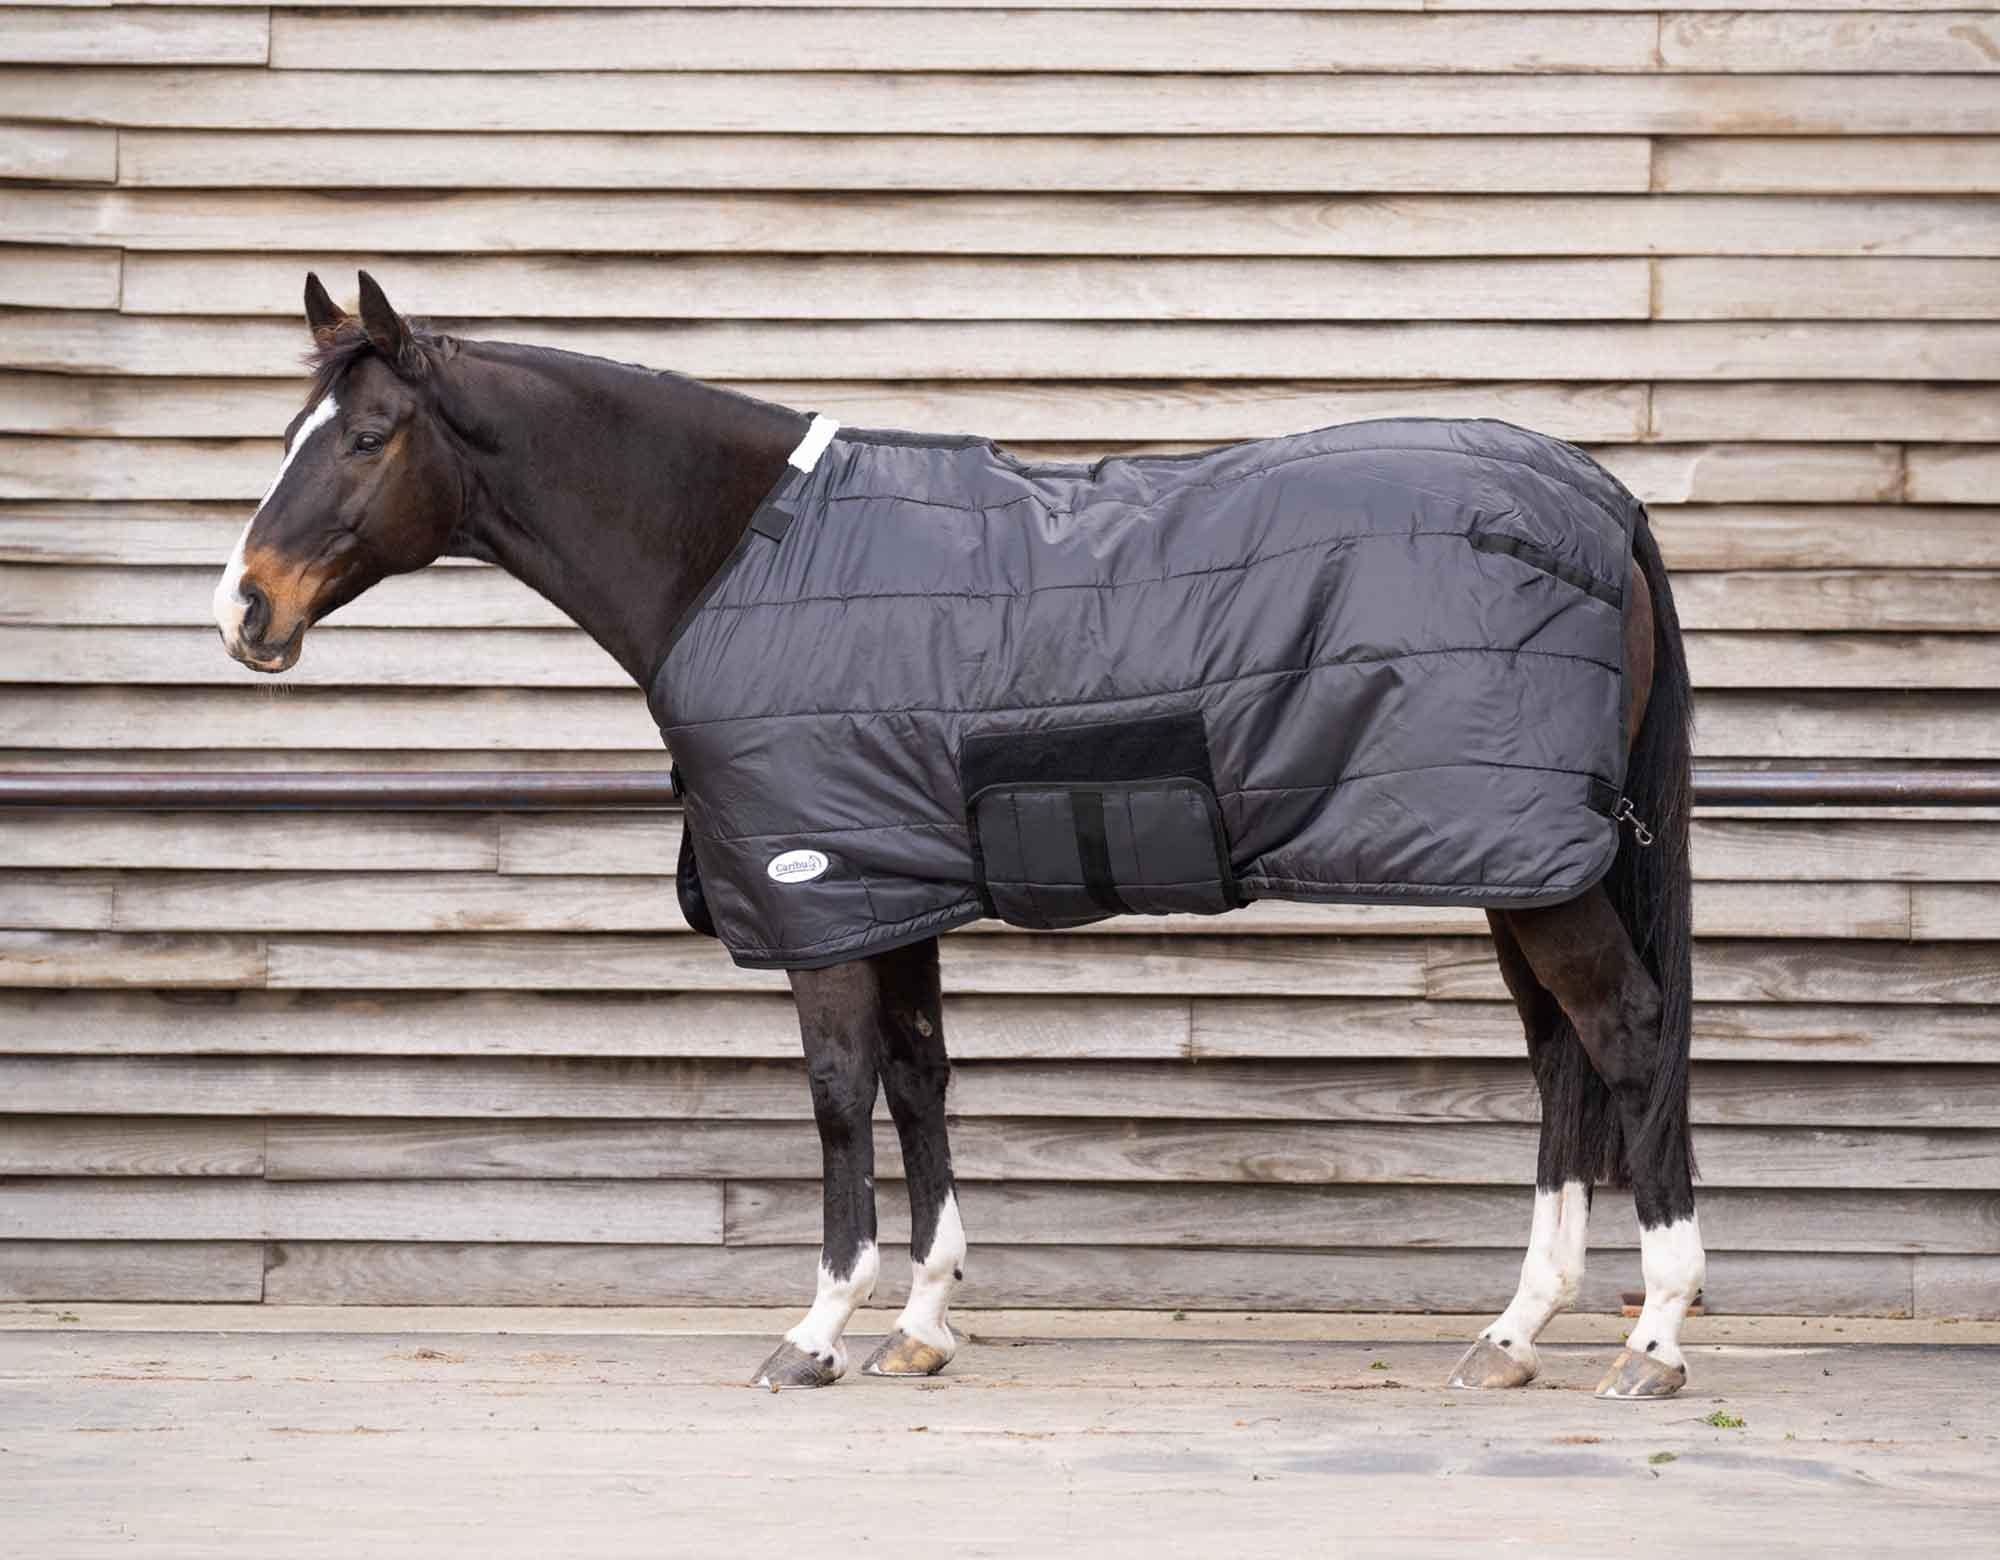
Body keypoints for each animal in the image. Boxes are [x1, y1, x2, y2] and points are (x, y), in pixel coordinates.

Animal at [215, 272, 1702, 1399]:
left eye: (365, 437)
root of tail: (1598, 500)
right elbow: (920, 1078)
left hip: (1532, 870)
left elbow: (836, 1093)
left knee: (1624, 1036)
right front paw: (922, 1323)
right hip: (1521, 866)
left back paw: (1655, 1335)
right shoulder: (887, 888)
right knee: (1563, 1061)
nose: (243, 609)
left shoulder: (817, 892)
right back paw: (1517, 1330)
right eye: (295, 429)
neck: (742, 554)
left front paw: (818, 1330)